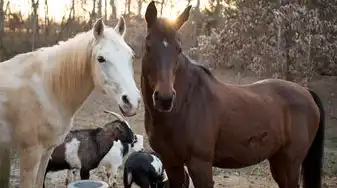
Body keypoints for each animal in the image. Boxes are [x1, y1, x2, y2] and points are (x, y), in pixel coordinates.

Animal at [0, 16, 140, 187]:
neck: (46, 89)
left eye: (131, 56)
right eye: (101, 59)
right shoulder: (30, 154)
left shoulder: (46, 152)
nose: (132, 101)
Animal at [140, 1, 324, 188]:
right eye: (148, 47)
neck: (186, 103)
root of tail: (306, 92)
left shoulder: (200, 164)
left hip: (289, 164)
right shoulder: (171, 163)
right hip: (278, 161)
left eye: (178, 49)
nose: (165, 99)